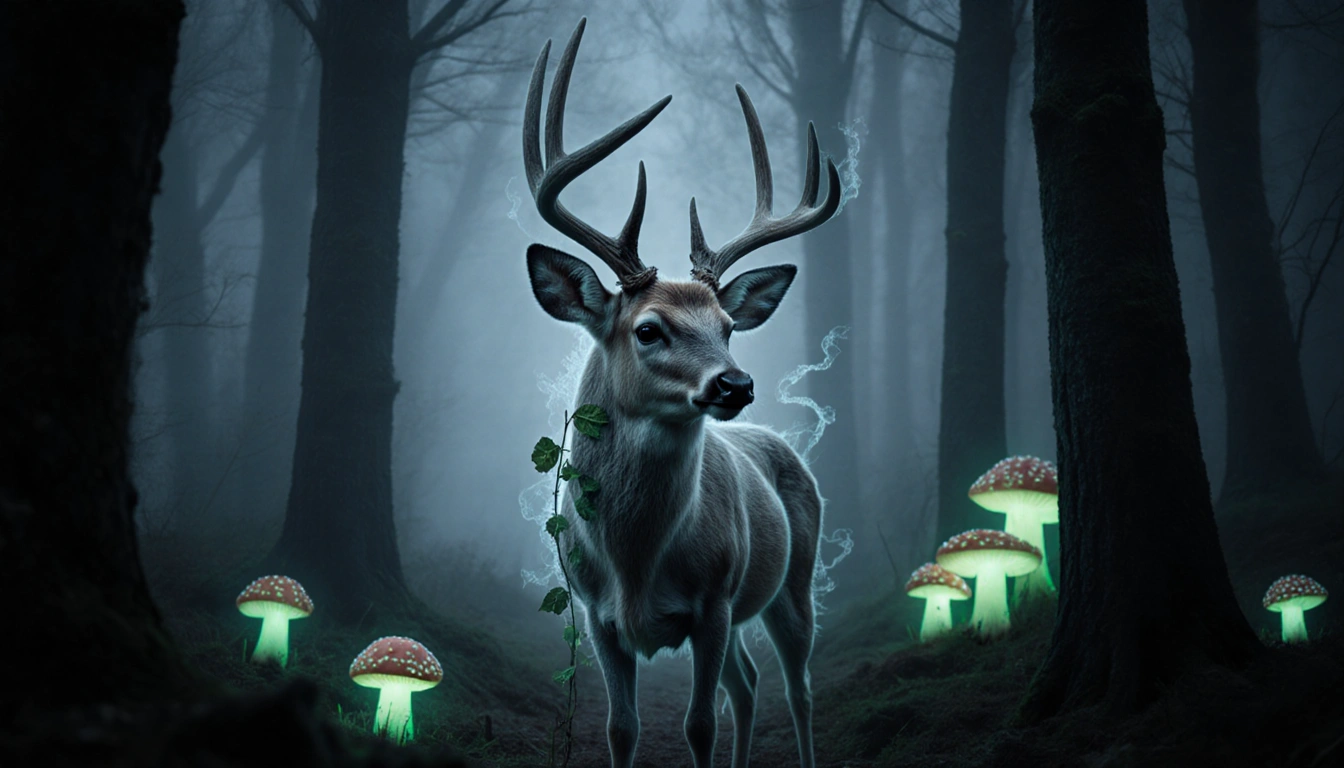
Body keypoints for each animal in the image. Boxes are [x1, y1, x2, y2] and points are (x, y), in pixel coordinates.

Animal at [521, 18, 843, 768]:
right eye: (648, 328)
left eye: (727, 326)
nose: (735, 382)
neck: (637, 562)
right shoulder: (594, 611)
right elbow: (622, 727)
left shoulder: (715, 600)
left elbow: (699, 726)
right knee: (749, 685)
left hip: (793, 579)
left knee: (797, 688)